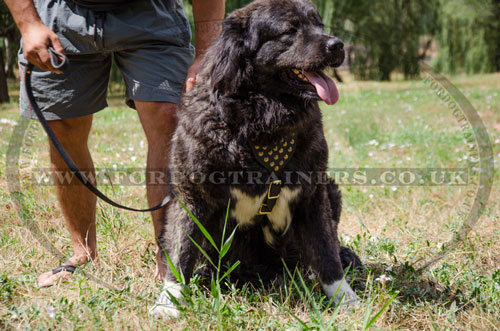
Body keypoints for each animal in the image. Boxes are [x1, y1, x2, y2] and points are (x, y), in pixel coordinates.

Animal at [150, 0, 362, 318]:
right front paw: (169, 300)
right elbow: (181, 250)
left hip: (331, 190)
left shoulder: (313, 193)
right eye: (289, 30)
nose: (337, 45)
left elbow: (326, 251)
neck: (261, 122)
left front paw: (344, 297)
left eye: (318, 25)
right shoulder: (190, 196)